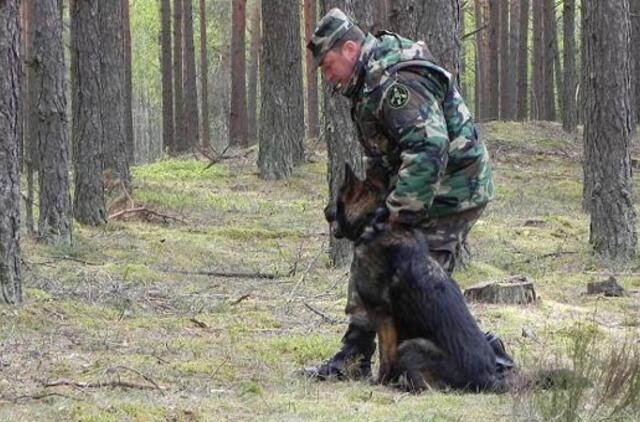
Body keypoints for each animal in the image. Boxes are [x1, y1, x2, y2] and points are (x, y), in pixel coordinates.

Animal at [328, 162, 512, 392]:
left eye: (336, 202)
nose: (325, 212)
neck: (373, 222)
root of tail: (488, 378)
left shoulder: (382, 315)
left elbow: (385, 355)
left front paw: (380, 381)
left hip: (411, 345)